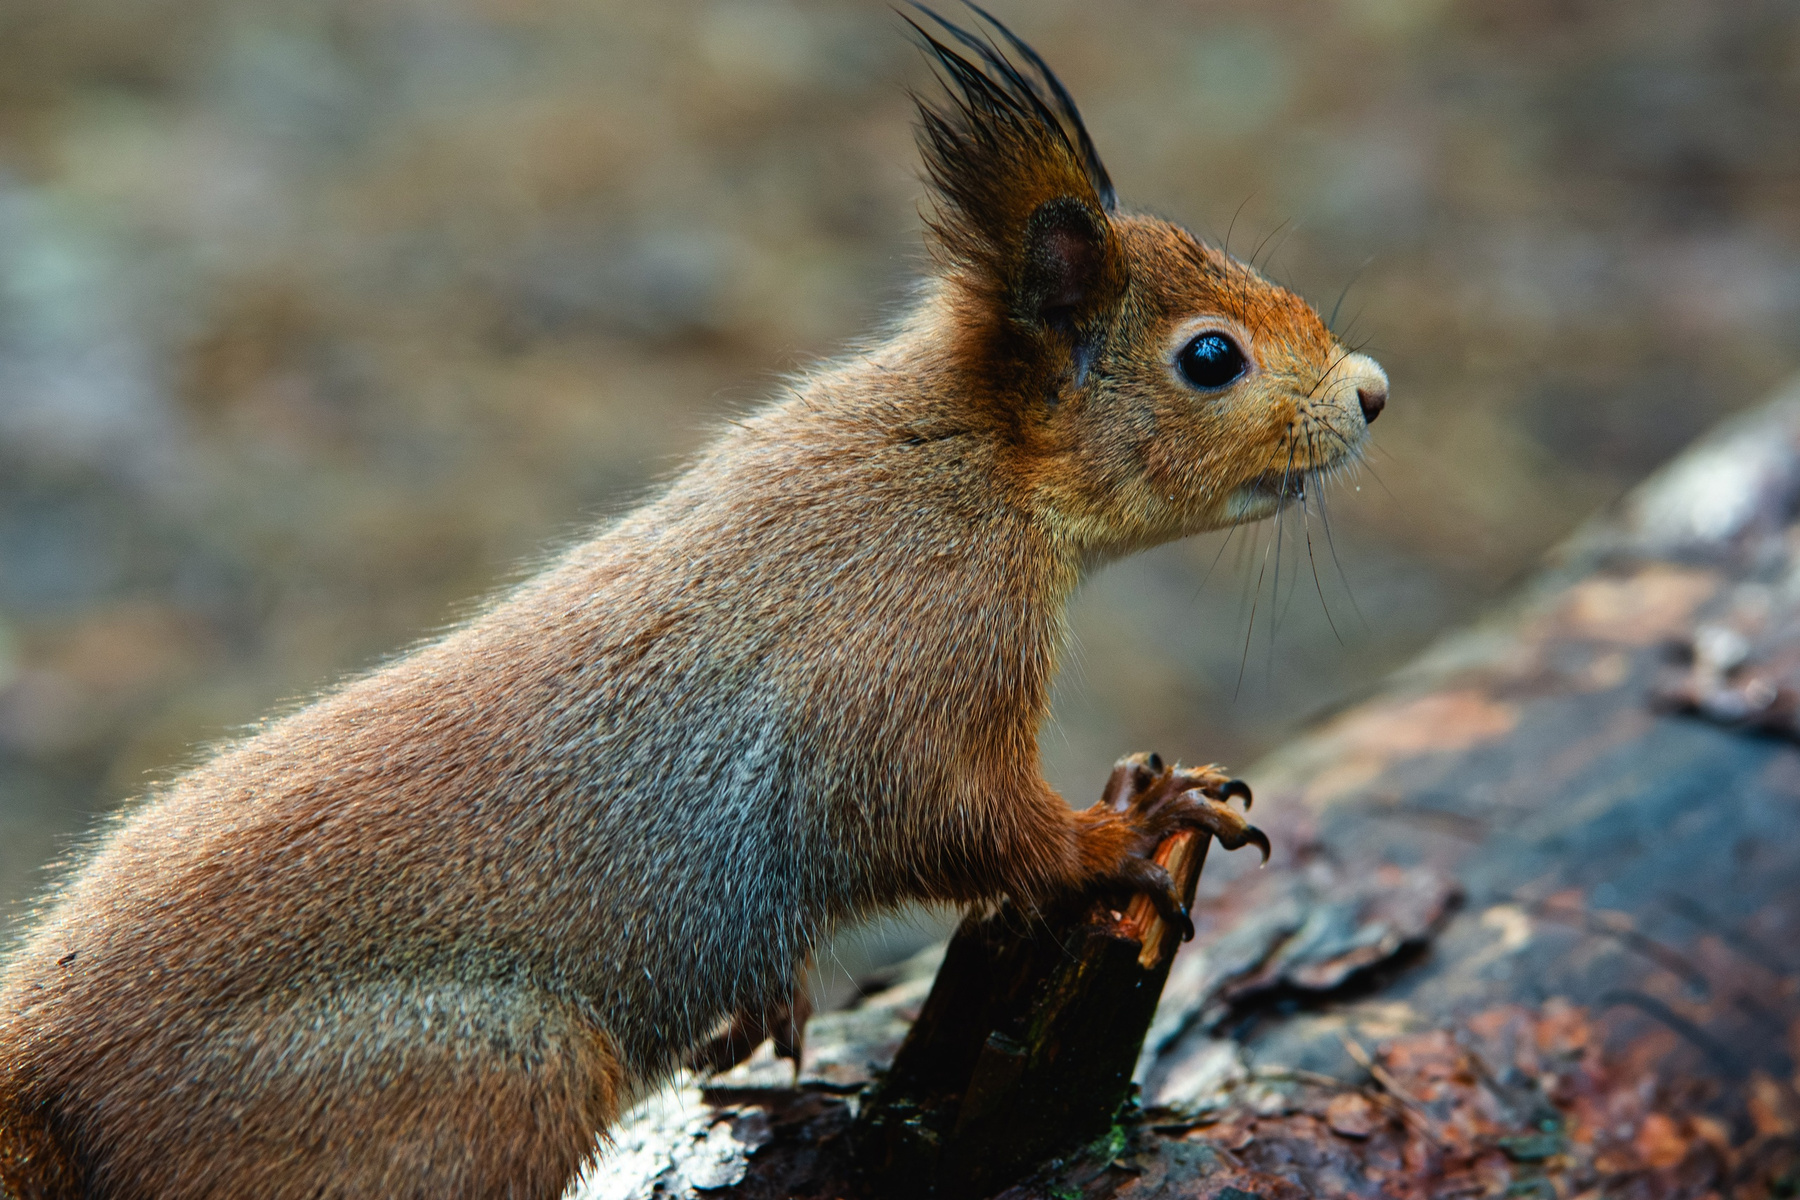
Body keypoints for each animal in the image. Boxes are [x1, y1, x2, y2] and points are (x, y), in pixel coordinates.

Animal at [0, 6, 1387, 1198]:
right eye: (1210, 358)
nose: (1371, 392)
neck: (966, 471)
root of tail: (52, 1069)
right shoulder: (905, 662)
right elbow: (957, 821)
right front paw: (1134, 823)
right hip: (487, 1070)